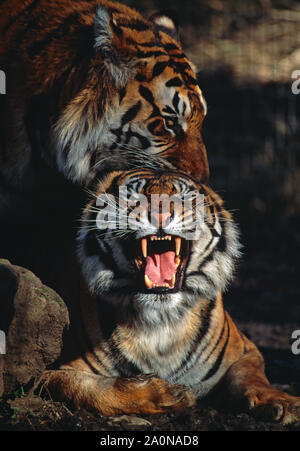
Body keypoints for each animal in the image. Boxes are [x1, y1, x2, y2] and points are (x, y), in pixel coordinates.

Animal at [41, 169, 300, 424]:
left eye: (182, 197)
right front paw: (166, 394)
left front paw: (285, 403)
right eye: (134, 196)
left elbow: (252, 377)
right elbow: (81, 387)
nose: (160, 214)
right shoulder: (48, 370)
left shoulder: (247, 350)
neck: (161, 320)